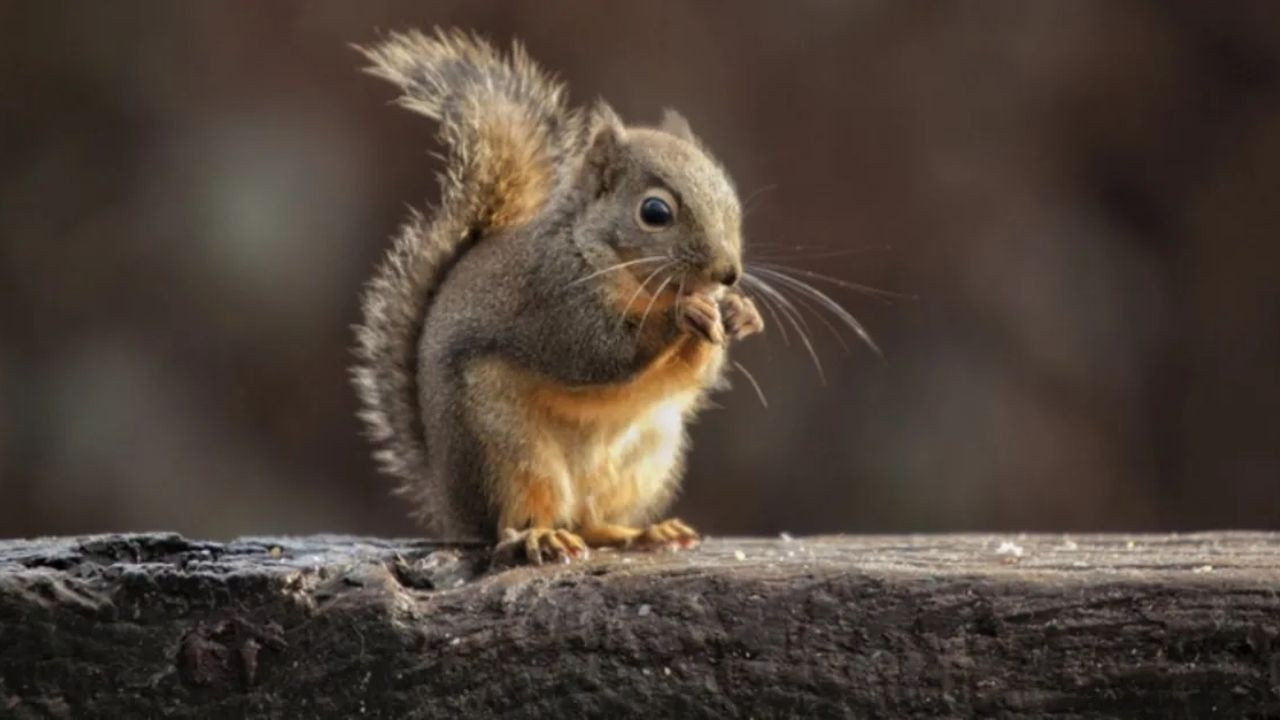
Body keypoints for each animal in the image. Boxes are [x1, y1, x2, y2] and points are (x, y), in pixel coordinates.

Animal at [353, 28, 757, 561]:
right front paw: (680, 315)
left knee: (590, 521)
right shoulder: (552, 297)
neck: (601, 254)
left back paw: (642, 532)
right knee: (512, 524)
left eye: (731, 200)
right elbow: (598, 352)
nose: (728, 274)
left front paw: (737, 313)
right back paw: (539, 535)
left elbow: (690, 377)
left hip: (648, 457)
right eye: (655, 212)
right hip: (506, 450)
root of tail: (451, 509)